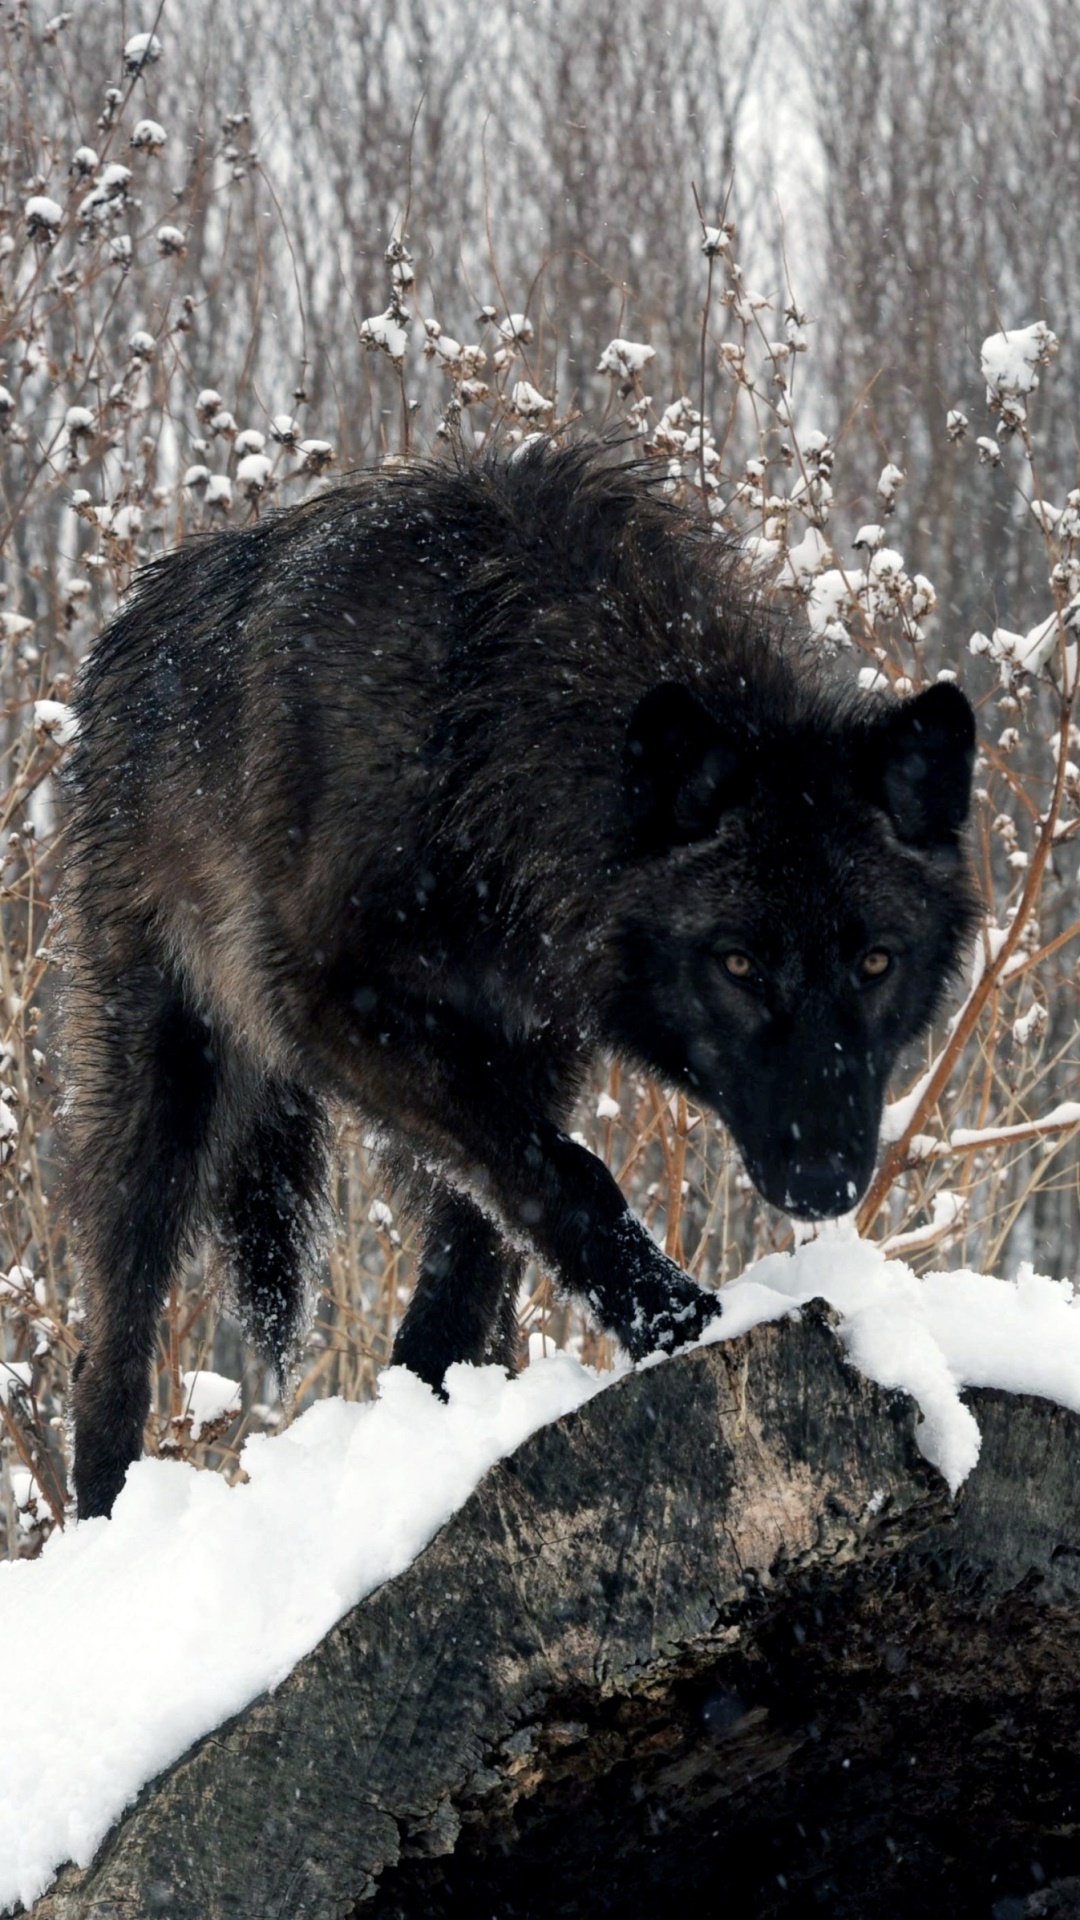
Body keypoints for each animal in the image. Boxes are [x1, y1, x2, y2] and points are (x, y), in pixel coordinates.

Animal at [63, 440, 978, 1518]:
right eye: (739, 964)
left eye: (875, 963)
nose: (824, 1177)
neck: (486, 722)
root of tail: (134, 621)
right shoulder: (335, 1009)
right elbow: (566, 1175)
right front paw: (676, 1319)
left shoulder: (532, 1050)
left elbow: (485, 1246)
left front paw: (435, 1425)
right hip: (167, 1090)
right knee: (112, 1333)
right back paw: (105, 1518)